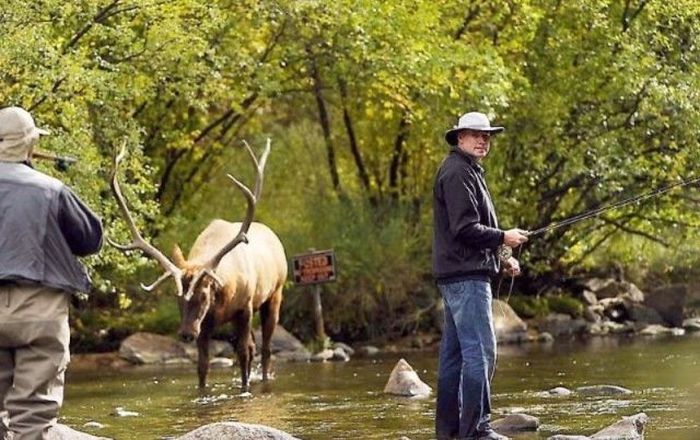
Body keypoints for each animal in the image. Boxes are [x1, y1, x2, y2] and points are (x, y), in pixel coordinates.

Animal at [109, 139, 284, 390]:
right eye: (177, 297)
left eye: (202, 295)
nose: (185, 334)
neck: (224, 293)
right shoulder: (206, 323)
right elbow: (203, 365)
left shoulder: (245, 308)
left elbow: (243, 353)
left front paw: (245, 388)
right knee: (253, 346)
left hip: (274, 295)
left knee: (265, 348)